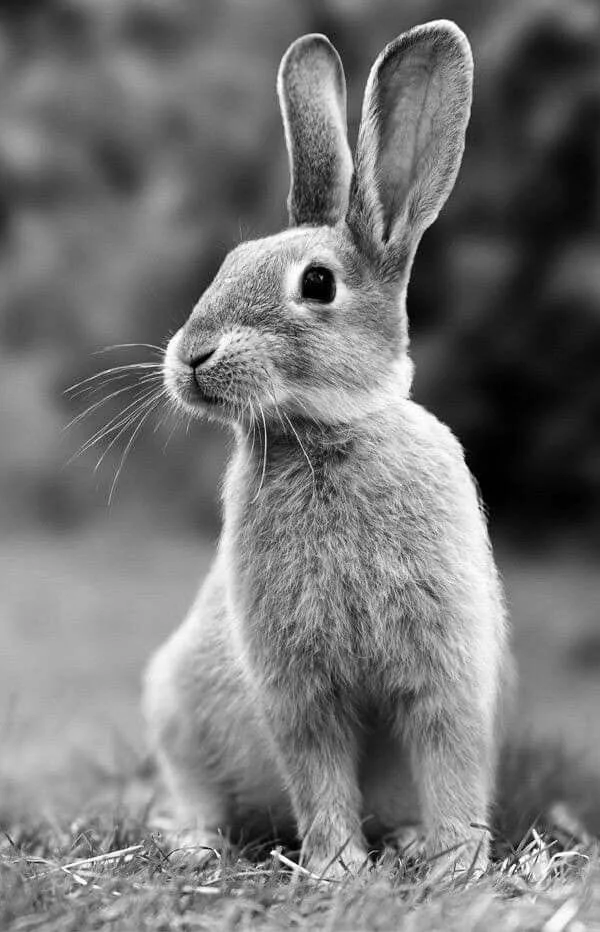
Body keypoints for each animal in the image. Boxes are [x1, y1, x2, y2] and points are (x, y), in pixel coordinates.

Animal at [143, 20, 511, 878]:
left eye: (317, 284)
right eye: (228, 264)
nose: (191, 356)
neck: (327, 434)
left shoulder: (445, 671)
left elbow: (449, 762)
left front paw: (454, 865)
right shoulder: (298, 688)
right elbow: (318, 773)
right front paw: (340, 867)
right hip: (174, 707)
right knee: (195, 792)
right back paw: (195, 845)